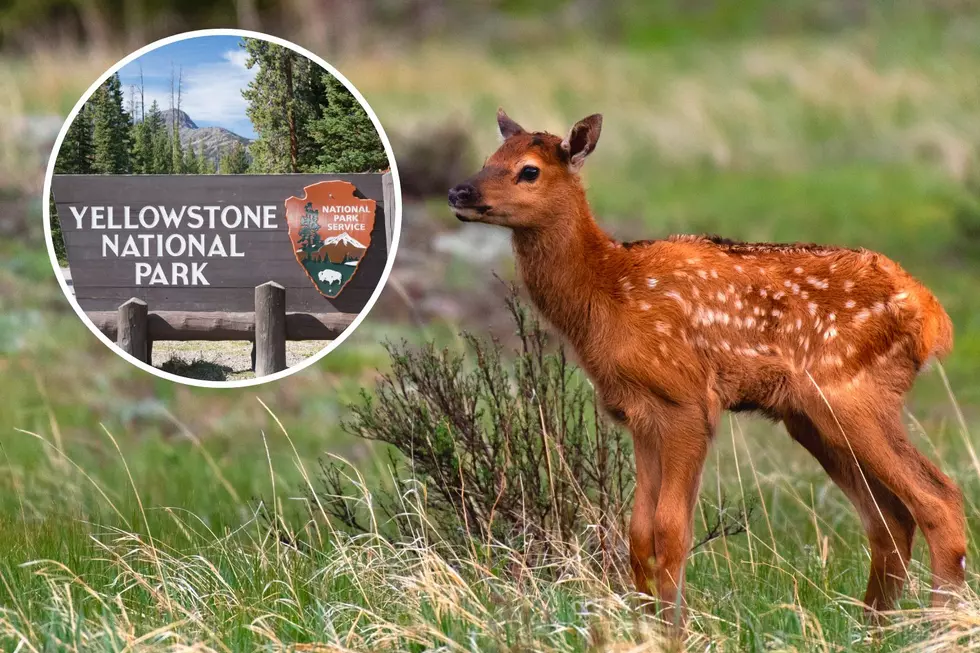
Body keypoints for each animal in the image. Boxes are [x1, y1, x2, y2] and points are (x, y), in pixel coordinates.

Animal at [447, 109, 966, 626]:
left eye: (529, 170)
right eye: (490, 157)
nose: (458, 192)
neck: (608, 295)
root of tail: (931, 315)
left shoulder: (689, 401)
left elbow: (670, 529)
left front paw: (674, 628)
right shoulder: (639, 412)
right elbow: (638, 533)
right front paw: (647, 623)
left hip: (851, 392)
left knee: (938, 499)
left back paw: (938, 623)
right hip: (812, 417)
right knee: (890, 518)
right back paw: (874, 627)